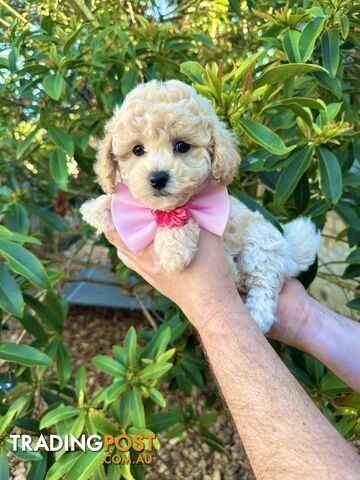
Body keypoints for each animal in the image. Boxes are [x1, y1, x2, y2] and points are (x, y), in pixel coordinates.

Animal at [80, 79, 320, 334]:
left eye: (182, 146)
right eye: (137, 150)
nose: (158, 178)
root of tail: (289, 251)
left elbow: (181, 217)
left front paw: (174, 250)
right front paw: (99, 207)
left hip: (260, 244)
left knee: (264, 283)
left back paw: (257, 316)